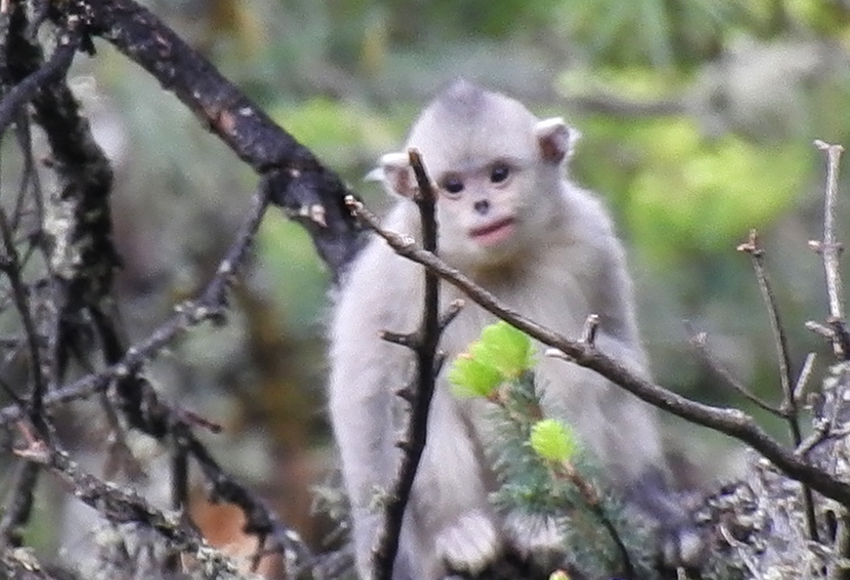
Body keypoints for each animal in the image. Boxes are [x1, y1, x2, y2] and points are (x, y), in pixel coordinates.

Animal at [328, 80, 684, 580]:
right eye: (453, 187)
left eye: (499, 174)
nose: (482, 204)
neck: (491, 269)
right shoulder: (391, 271)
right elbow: (365, 397)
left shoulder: (592, 239)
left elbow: (618, 353)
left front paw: (656, 505)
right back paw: (462, 531)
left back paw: (543, 525)